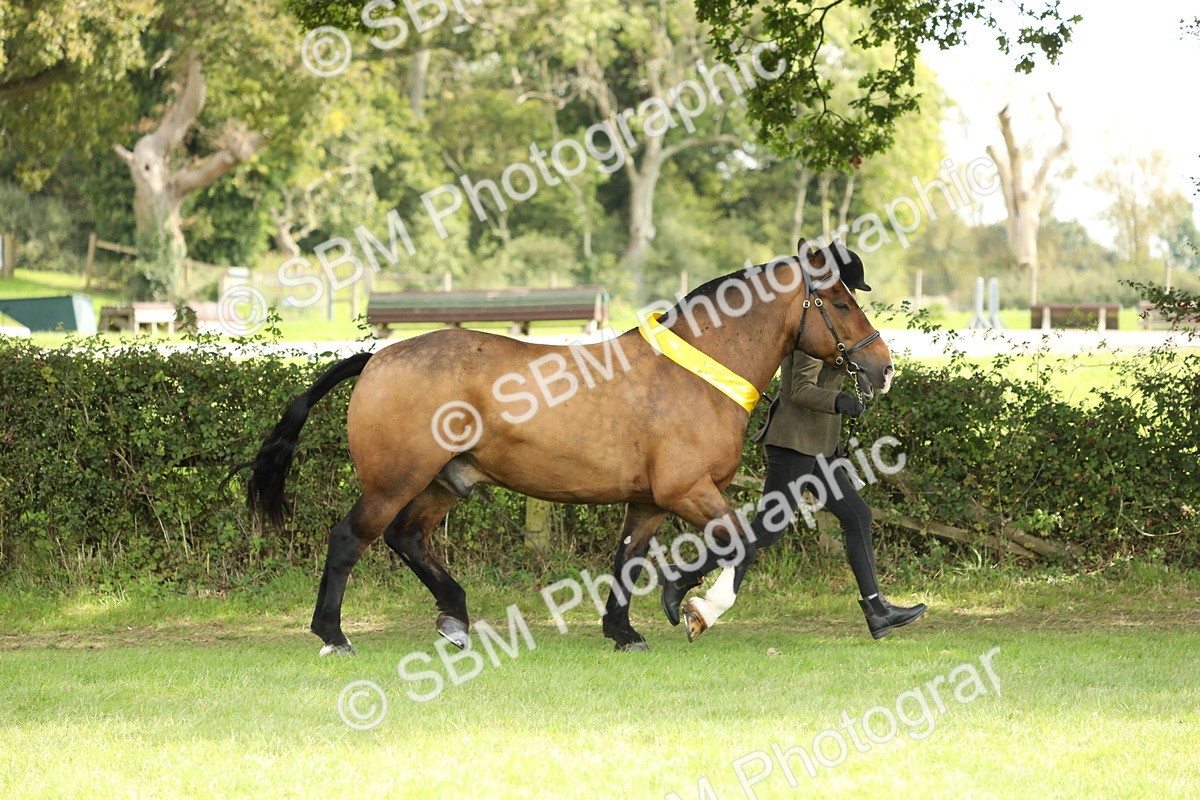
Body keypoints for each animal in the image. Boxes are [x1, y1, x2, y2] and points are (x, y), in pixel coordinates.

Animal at [244, 240, 894, 654]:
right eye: (840, 304)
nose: (882, 369)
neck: (695, 374)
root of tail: (377, 357)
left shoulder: (650, 501)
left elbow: (628, 560)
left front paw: (624, 630)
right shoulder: (687, 490)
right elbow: (744, 543)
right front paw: (690, 605)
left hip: (448, 480)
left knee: (408, 538)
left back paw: (454, 618)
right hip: (395, 481)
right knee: (350, 539)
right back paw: (334, 635)